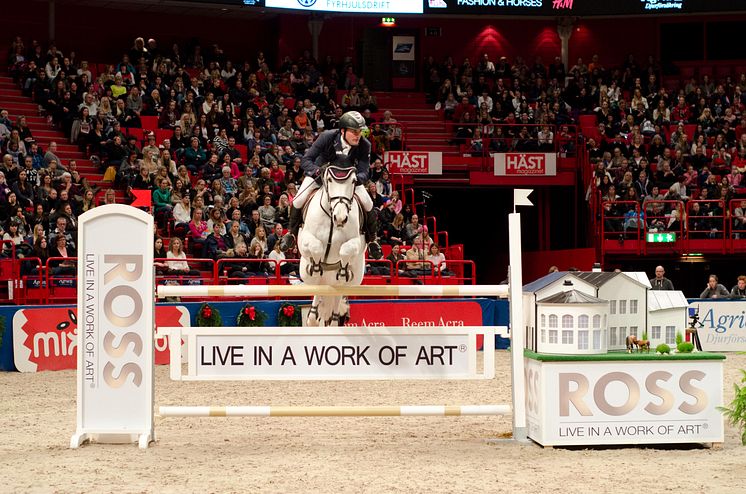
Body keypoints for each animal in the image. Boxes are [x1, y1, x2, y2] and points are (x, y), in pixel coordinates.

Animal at [296, 166, 366, 328]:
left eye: (354, 181)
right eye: (329, 179)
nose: (340, 218)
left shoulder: (356, 242)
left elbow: (345, 250)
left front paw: (343, 268)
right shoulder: (305, 238)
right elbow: (316, 247)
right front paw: (316, 265)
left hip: (350, 280)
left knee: (338, 292)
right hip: (307, 275)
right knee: (317, 287)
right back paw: (313, 316)